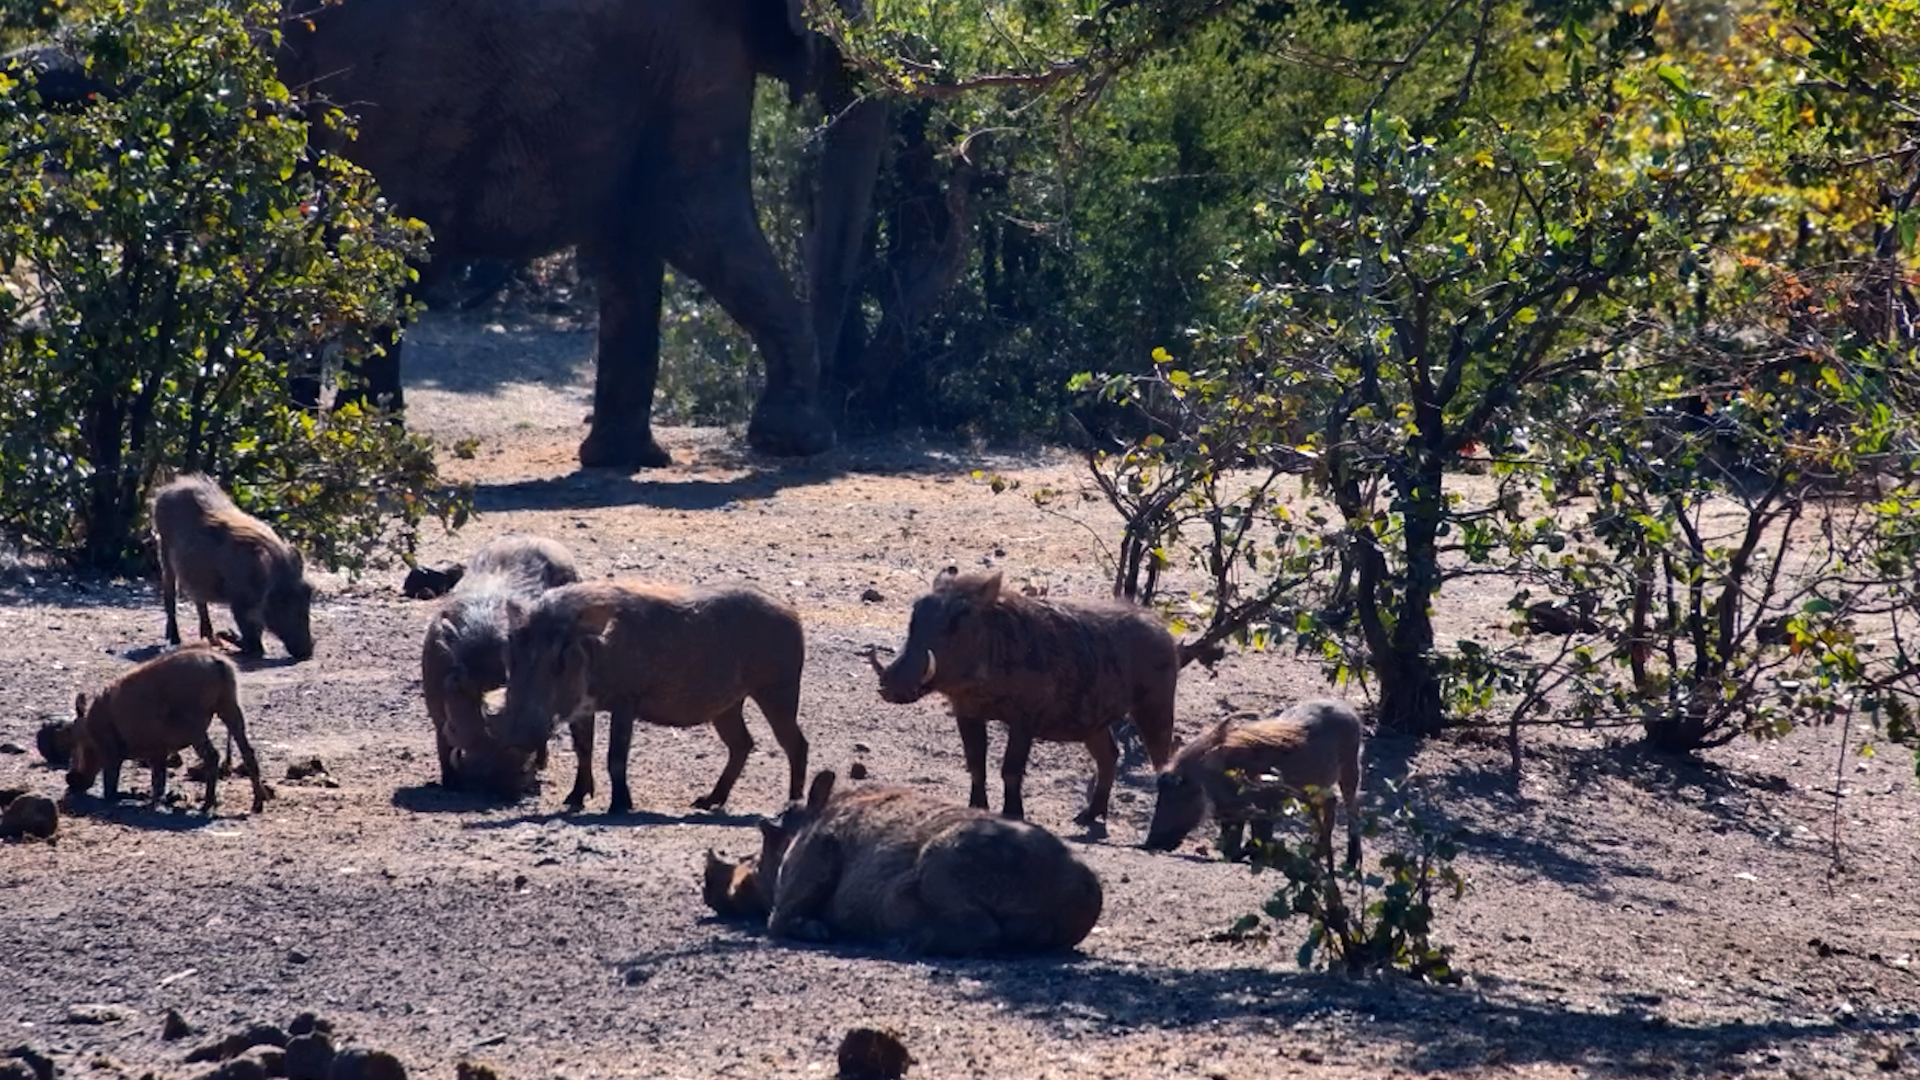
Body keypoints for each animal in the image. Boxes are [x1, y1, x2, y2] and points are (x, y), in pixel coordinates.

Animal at [276, 0, 885, 470]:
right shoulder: (697, 47)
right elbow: (698, 216)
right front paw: (798, 440)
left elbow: (630, 239)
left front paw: (623, 459)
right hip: (399, 95)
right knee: (395, 259)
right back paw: (370, 452)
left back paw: (308, 440)